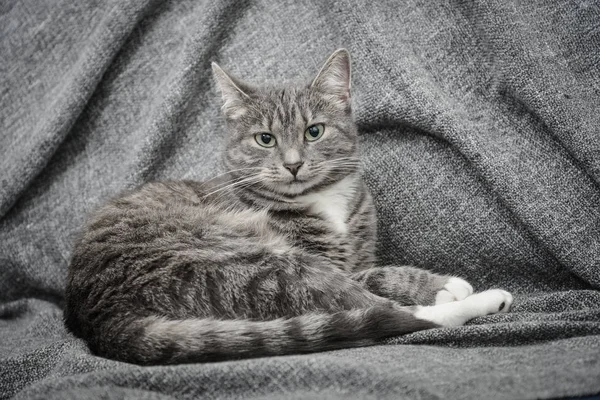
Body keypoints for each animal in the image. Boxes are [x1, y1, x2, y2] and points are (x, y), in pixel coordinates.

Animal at [67, 48, 516, 364]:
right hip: (250, 263)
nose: (294, 163)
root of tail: (103, 316)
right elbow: (371, 282)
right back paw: (480, 301)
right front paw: (443, 286)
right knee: (378, 312)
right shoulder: (326, 262)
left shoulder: (358, 252)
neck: (323, 201)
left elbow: (376, 270)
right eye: (265, 139)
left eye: (314, 131)